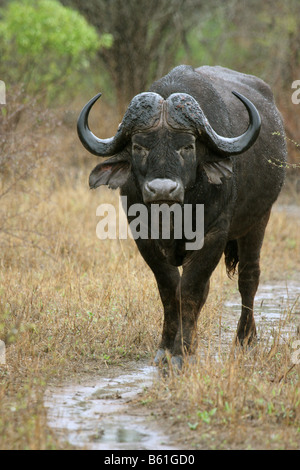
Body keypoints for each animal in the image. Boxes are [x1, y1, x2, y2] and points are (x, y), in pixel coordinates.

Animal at [77, 65, 286, 368]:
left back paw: (245, 340)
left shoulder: (214, 234)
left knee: (249, 278)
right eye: (139, 146)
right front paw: (167, 347)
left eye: (187, 146)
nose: (162, 189)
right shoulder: (142, 235)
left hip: (259, 219)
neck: (174, 215)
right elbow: (169, 288)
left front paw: (182, 352)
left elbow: (190, 288)